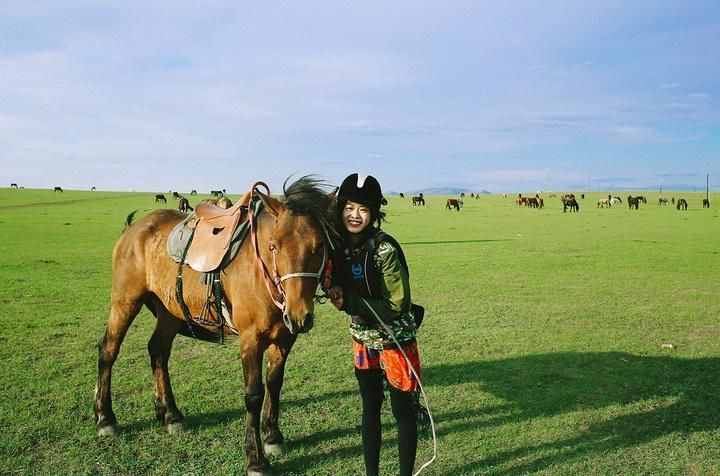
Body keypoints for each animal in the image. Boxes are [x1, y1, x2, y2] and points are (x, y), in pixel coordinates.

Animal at [92, 178, 334, 476]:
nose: (300, 315)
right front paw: (255, 458)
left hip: (170, 311)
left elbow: (274, 384)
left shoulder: (285, 338)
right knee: (108, 350)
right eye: (274, 246)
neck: (261, 272)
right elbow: (254, 394)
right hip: (126, 300)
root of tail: (134, 228)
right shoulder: (250, 339)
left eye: (319, 246)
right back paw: (105, 418)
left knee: (158, 351)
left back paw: (170, 414)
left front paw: (273, 436)